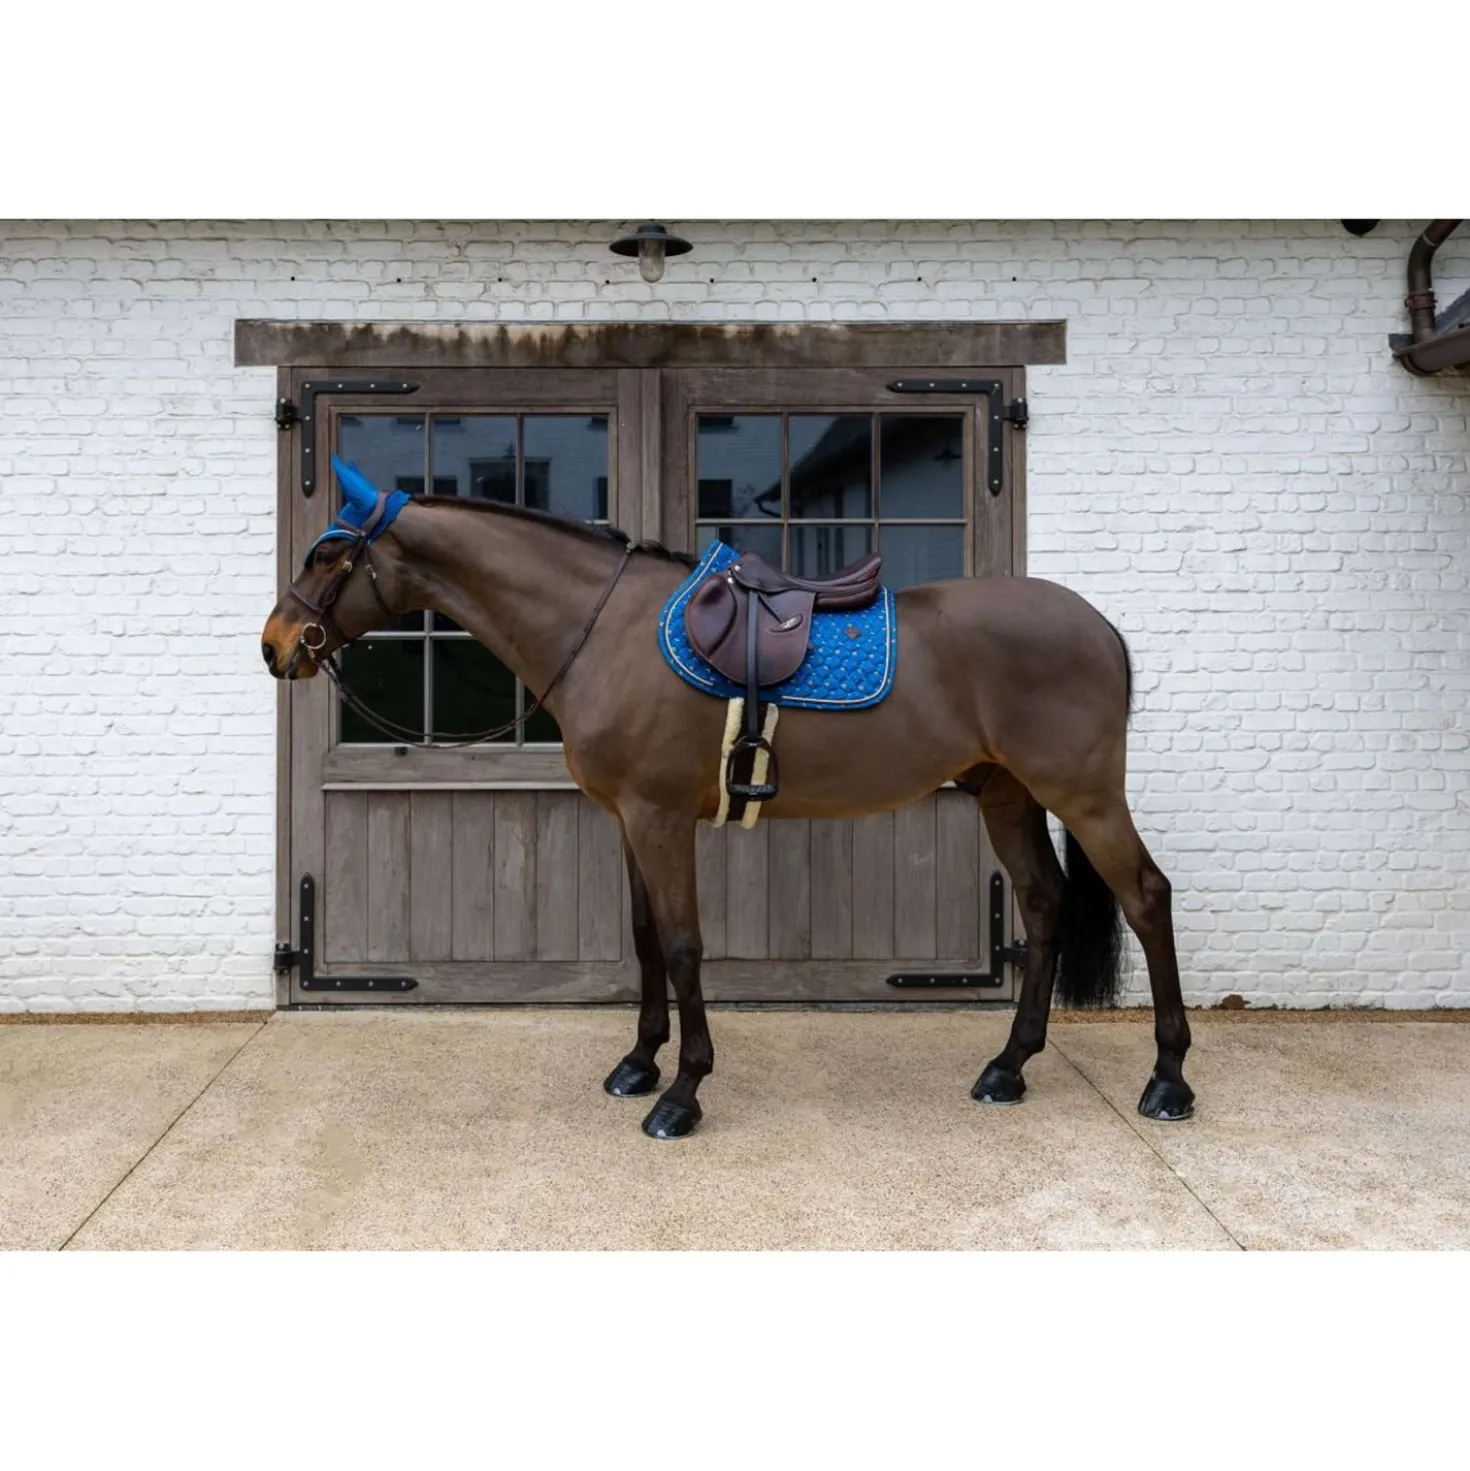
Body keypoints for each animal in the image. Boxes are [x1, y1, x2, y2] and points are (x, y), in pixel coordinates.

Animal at [261, 467, 1193, 1140]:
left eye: (326, 555)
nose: (275, 646)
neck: (605, 629)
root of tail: (1098, 625)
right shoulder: (627, 820)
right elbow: (644, 940)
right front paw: (638, 1062)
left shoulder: (660, 818)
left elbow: (682, 946)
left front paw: (681, 1093)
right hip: (1008, 795)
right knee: (1042, 903)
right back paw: (1009, 1067)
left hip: (1084, 796)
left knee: (1147, 897)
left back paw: (1168, 1079)